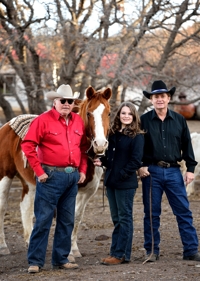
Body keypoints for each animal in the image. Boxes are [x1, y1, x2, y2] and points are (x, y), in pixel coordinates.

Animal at [0, 85, 111, 256]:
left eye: (109, 113)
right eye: (88, 113)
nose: (100, 144)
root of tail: (6, 126)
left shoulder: (87, 193)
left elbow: (77, 217)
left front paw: (74, 249)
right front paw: (69, 252)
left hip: (30, 183)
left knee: (26, 207)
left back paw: (29, 241)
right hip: (5, 177)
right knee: (2, 208)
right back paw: (3, 246)